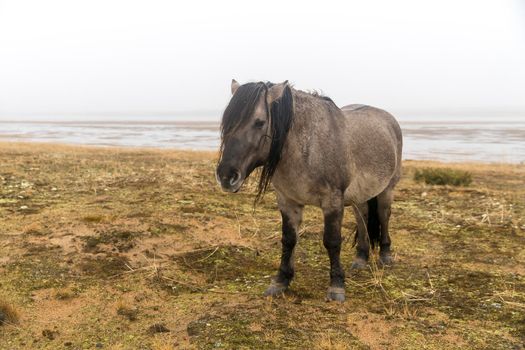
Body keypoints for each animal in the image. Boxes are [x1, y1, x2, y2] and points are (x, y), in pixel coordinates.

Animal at [215, 79, 404, 300]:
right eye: (227, 123)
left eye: (259, 122)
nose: (226, 176)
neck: (308, 146)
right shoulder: (288, 202)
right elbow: (288, 240)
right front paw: (281, 281)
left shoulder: (332, 202)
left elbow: (332, 241)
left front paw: (336, 286)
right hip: (360, 196)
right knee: (363, 218)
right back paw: (360, 258)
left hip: (387, 189)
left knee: (383, 215)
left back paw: (385, 255)